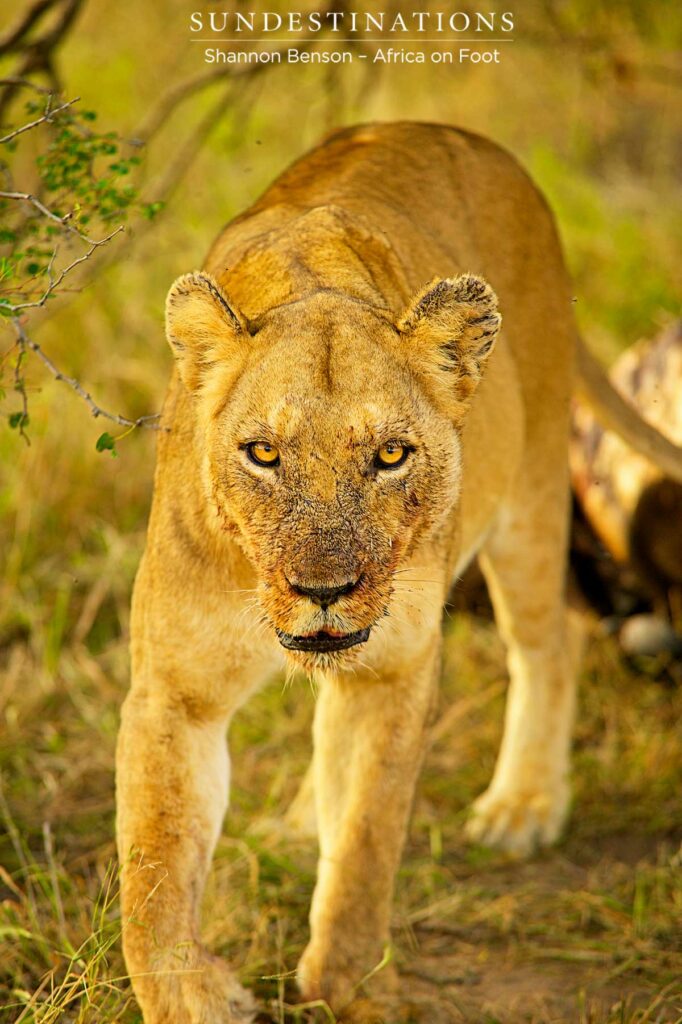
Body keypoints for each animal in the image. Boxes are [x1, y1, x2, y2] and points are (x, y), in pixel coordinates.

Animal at [115, 122, 682, 1024]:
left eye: (390, 455)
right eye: (262, 453)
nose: (323, 593)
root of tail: (475, 140)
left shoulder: (394, 671)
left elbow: (367, 843)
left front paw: (344, 987)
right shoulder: (175, 691)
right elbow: (155, 871)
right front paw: (189, 997)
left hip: (531, 493)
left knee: (555, 635)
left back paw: (522, 805)